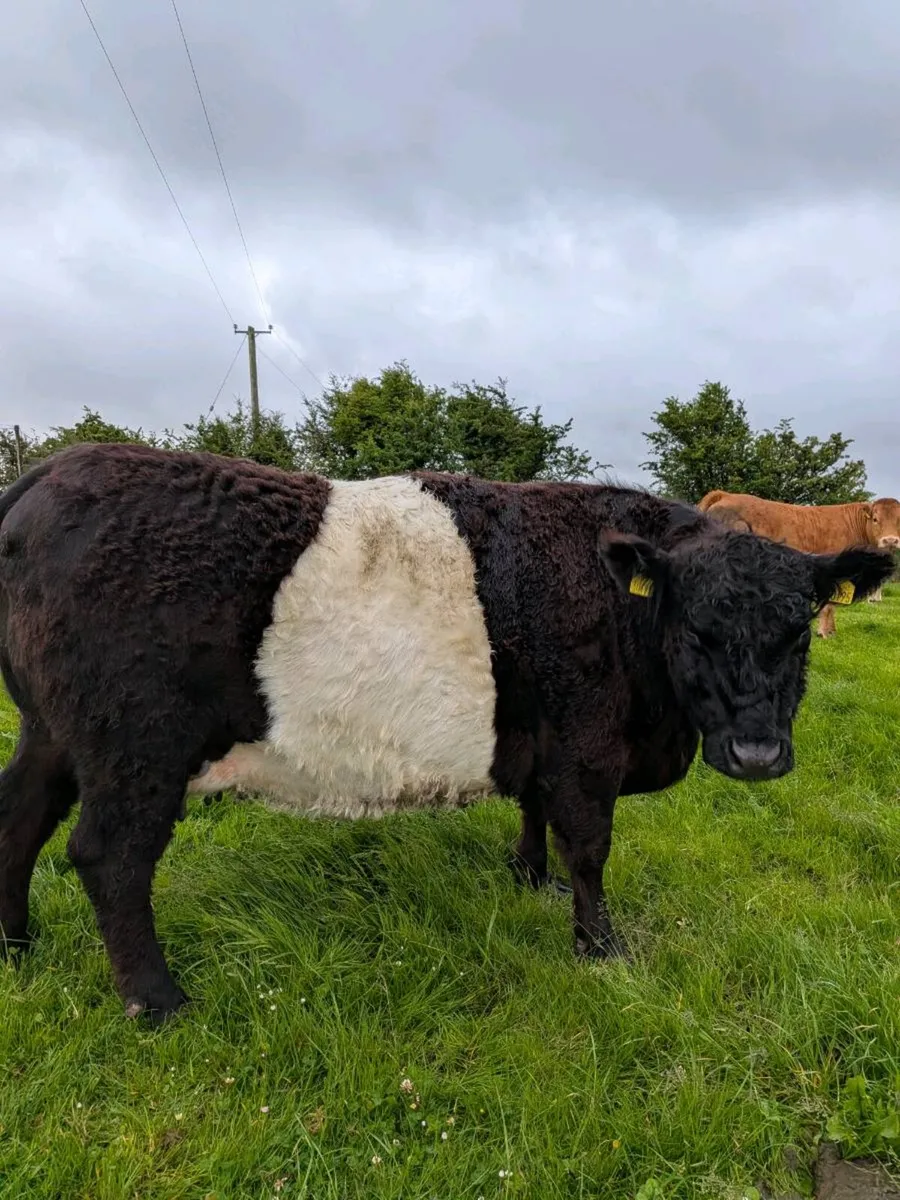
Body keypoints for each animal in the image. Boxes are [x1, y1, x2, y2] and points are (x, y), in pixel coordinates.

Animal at [697, 491, 900, 638]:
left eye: (899, 521)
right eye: (875, 519)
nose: (890, 541)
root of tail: (725, 495)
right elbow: (828, 607)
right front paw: (825, 633)